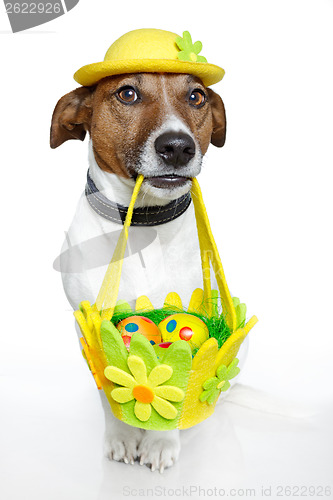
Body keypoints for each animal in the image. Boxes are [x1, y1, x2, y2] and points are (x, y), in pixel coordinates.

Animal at [51, 71, 228, 472]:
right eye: (127, 93)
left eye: (196, 97)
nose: (178, 147)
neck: (144, 224)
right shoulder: (87, 327)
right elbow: (108, 391)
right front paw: (122, 437)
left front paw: (160, 442)